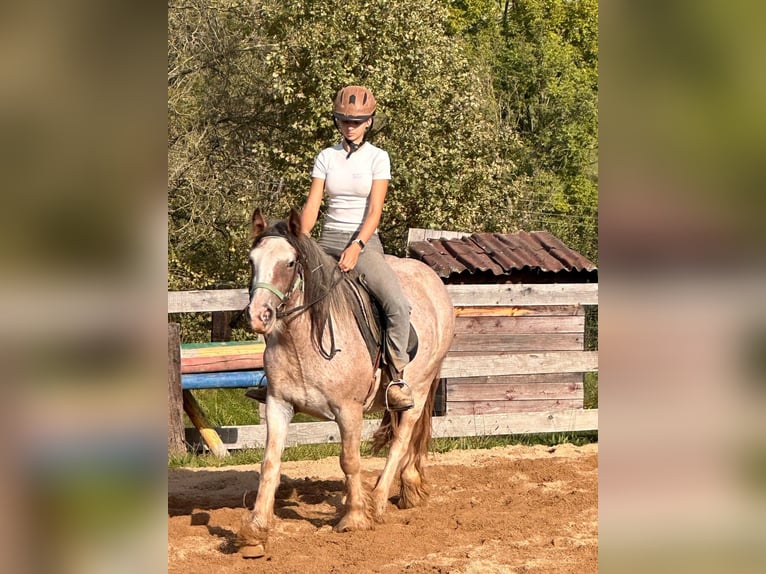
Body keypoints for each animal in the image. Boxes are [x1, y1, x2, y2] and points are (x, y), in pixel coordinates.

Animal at [238, 209, 456, 560]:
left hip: (420, 389)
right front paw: (255, 531)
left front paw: (354, 518)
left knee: (401, 441)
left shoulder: (348, 410)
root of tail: (431, 278)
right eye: (251, 260)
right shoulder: (278, 404)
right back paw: (408, 489)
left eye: (289, 263)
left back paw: (377, 502)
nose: (259, 315)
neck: (303, 342)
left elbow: (349, 461)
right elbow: (270, 462)